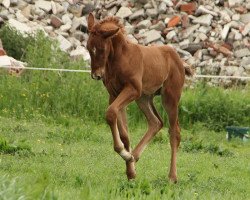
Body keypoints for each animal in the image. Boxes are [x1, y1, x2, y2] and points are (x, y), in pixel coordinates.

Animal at [87, 13, 192, 183]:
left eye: (102, 49)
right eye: (89, 48)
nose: (96, 75)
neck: (121, 57)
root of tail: (180, 61)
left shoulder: (132, 90)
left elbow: (110, 113)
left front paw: (124, 155)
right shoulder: (114, 95)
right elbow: (124, 133)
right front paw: (130, 169)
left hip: (169, 97)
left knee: (174, 132)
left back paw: (172, 177)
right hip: (144, 98)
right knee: (156, 122)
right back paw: (134, 157)